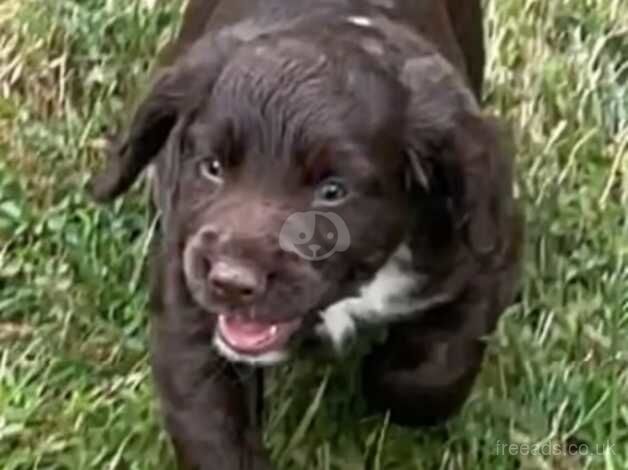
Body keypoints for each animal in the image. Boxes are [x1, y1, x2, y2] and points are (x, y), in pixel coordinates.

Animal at [88, 1, 520, 468]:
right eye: (213, 167)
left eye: (333, 191)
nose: (231, 282)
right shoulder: (188, 294)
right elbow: (211, 423)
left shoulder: (488, 254)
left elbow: (431, 373)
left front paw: (380, 375)